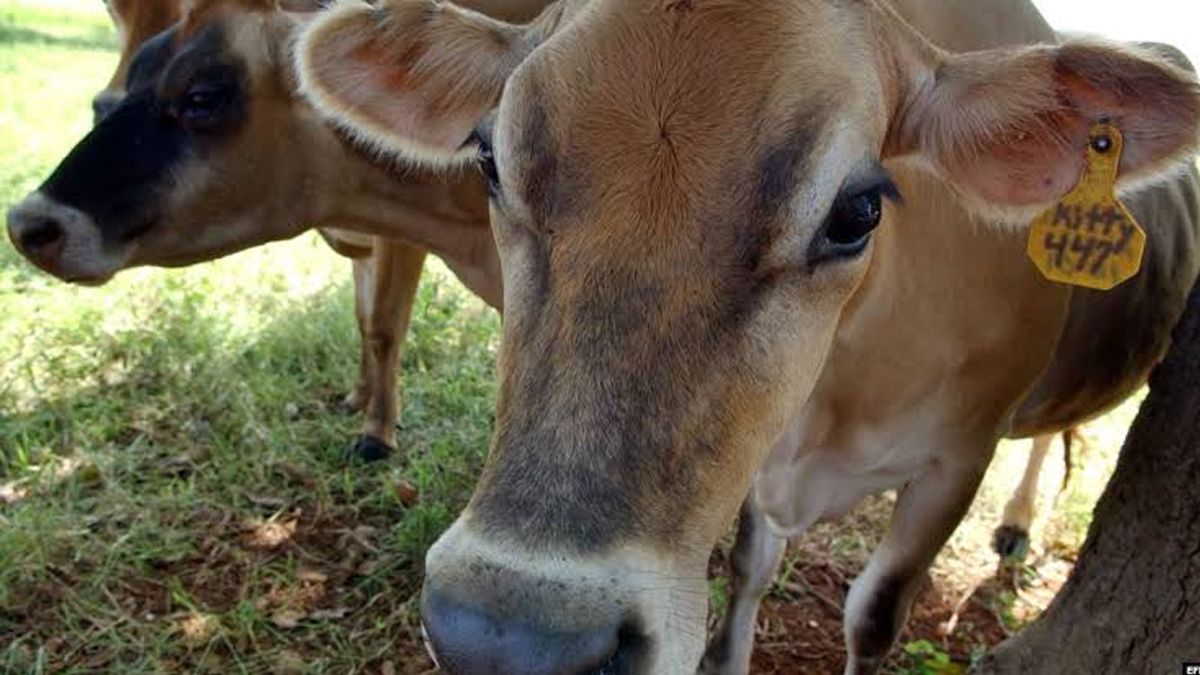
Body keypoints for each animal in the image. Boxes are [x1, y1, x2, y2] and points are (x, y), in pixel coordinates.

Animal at [294, 0, 1200, 672]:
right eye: (489, 159)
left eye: (857, 209)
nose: (510, 643)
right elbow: (746, 571)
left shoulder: (957, 459)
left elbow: (873, 614)